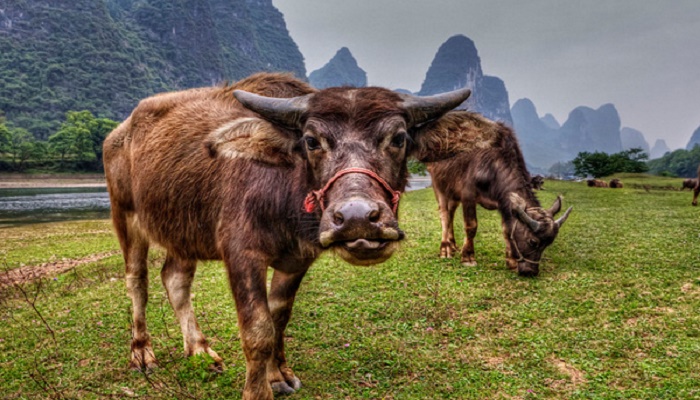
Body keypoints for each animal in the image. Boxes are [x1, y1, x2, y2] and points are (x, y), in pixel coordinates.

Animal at [101, 72, 474, 400]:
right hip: (125, 215)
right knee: (137, 281)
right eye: (311, 141)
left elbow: (278, 317)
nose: (357, 219)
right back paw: (142, 354)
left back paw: (200, 350)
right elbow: (258, 329)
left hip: (181, 228)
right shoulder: (241, 254)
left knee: (175, 279)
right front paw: (257, 391)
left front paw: (278, 375)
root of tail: (119, 133)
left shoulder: (297, 259)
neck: (283, 195)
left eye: (398, 138)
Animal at [424, 111, 572, 276]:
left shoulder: (503, 202)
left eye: (548, 244)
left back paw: (453, 245)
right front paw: (468, 258)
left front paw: (511, 262)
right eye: (533, 241)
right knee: (444, 214)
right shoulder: (468, 194)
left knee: (451, 212)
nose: (530, 271)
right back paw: (445, 249)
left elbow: (507, 230)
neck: (492, 166)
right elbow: (471, 226)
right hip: (438, 184)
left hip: (452, 191)